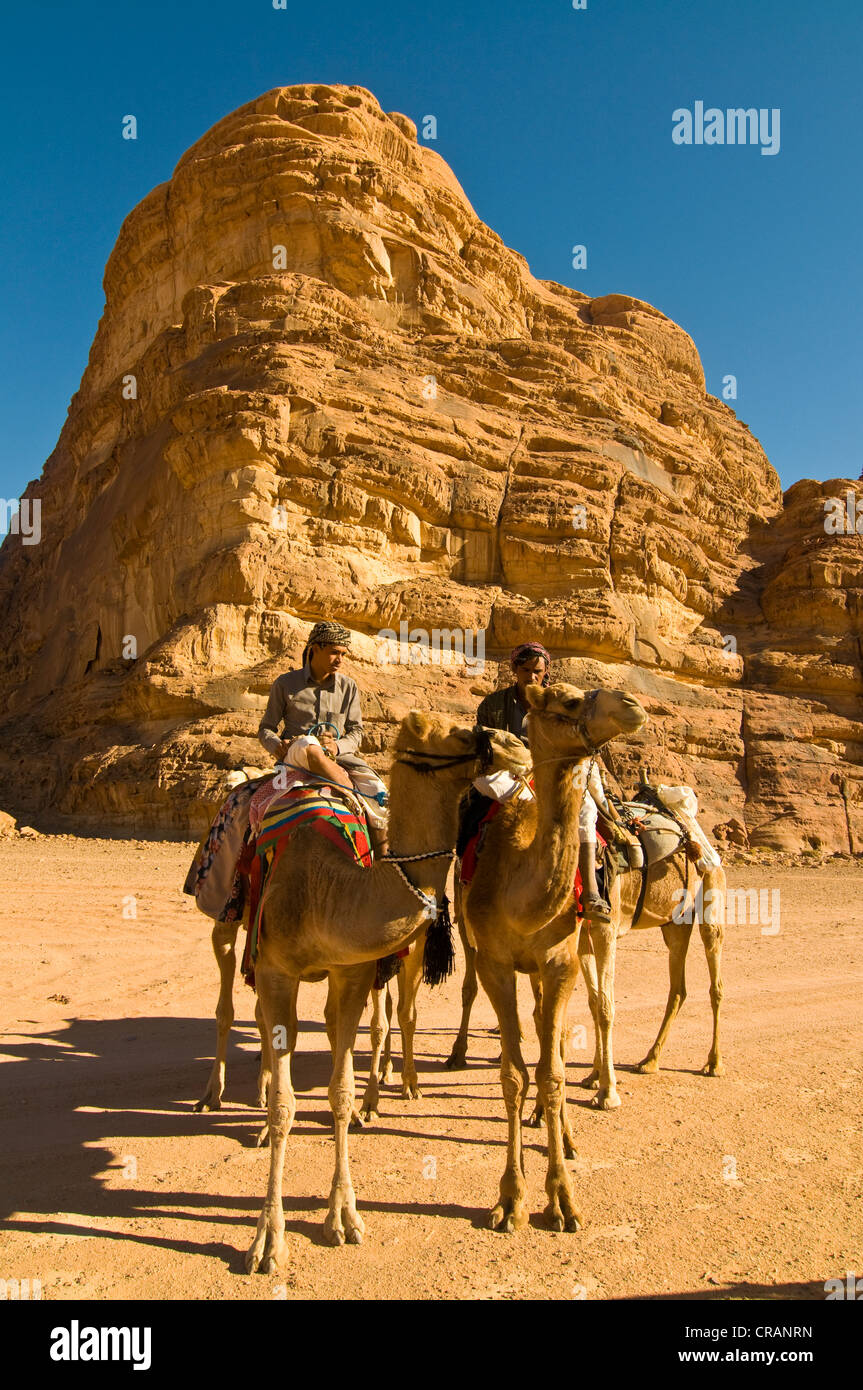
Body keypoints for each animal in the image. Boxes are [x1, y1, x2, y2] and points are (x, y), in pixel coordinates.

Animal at [239, 711, 528, 1267]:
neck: (326, 887)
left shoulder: (351, 971)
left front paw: (343, 1216)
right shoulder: (277, 970)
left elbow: (340, 1093)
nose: (516, 745)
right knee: (264, 1029)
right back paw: (258, 1119)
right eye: (459, 734)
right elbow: (286, 1104)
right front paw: (267, 1239)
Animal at [458, 678, 644, 1234]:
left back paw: (567, 1129)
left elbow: (554, 1071)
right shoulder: (495, 963)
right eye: (569, 701)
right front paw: (511, 1199)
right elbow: (514, 1075)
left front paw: (562, 1198)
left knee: (557, 1033)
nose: (634, 705)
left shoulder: (560, 961)